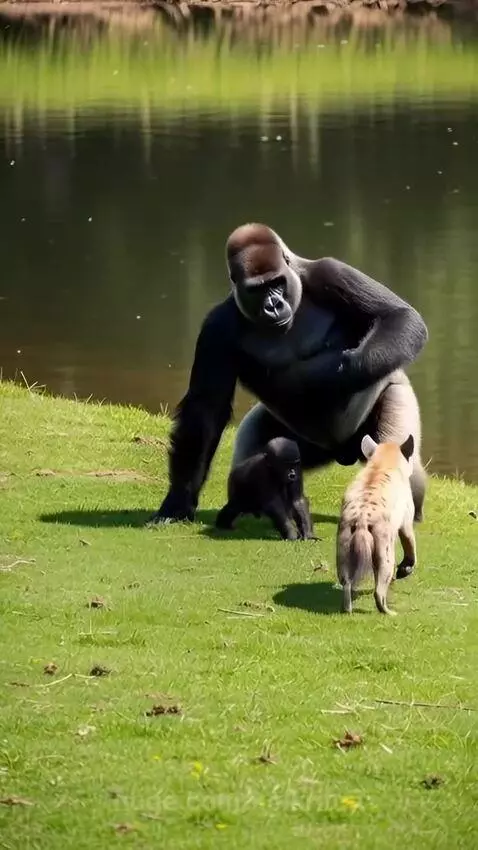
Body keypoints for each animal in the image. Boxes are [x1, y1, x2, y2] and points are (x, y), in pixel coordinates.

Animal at [150, 223, 428, 577]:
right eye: (258, 290)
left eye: (277, 283)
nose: (273, 305)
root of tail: (343, 453)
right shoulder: (217, 325)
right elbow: (206, 409)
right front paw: (179, 500)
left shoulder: (328, 271)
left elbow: (400, 317)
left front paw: (340, 373)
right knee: (252, 454)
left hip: (389, 406)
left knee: (403, 459)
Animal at [336, 433, 417, 616]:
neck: (383, 460)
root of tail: (361, 520)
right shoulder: (406, 517)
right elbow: (409, 541)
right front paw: (405, 570)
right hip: (384, 546)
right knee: (380, 587)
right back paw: (389, 612)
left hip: (343, 543)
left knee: (346, 582)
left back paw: (347, 608)